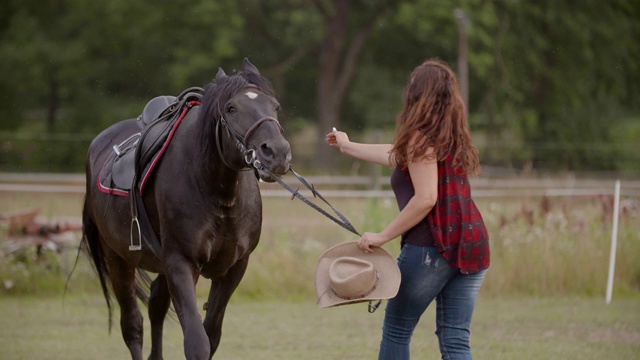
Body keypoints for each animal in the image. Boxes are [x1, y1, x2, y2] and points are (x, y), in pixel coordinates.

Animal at [80, 59, 292, 360]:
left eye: (274, 106)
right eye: (231, 108)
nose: (276, 153)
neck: (216, 193)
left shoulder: (234, 268)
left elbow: (211, 335)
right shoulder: (180, 263)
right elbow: (197, 341)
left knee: (155, 306)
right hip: (118, 258)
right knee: (132, 324)